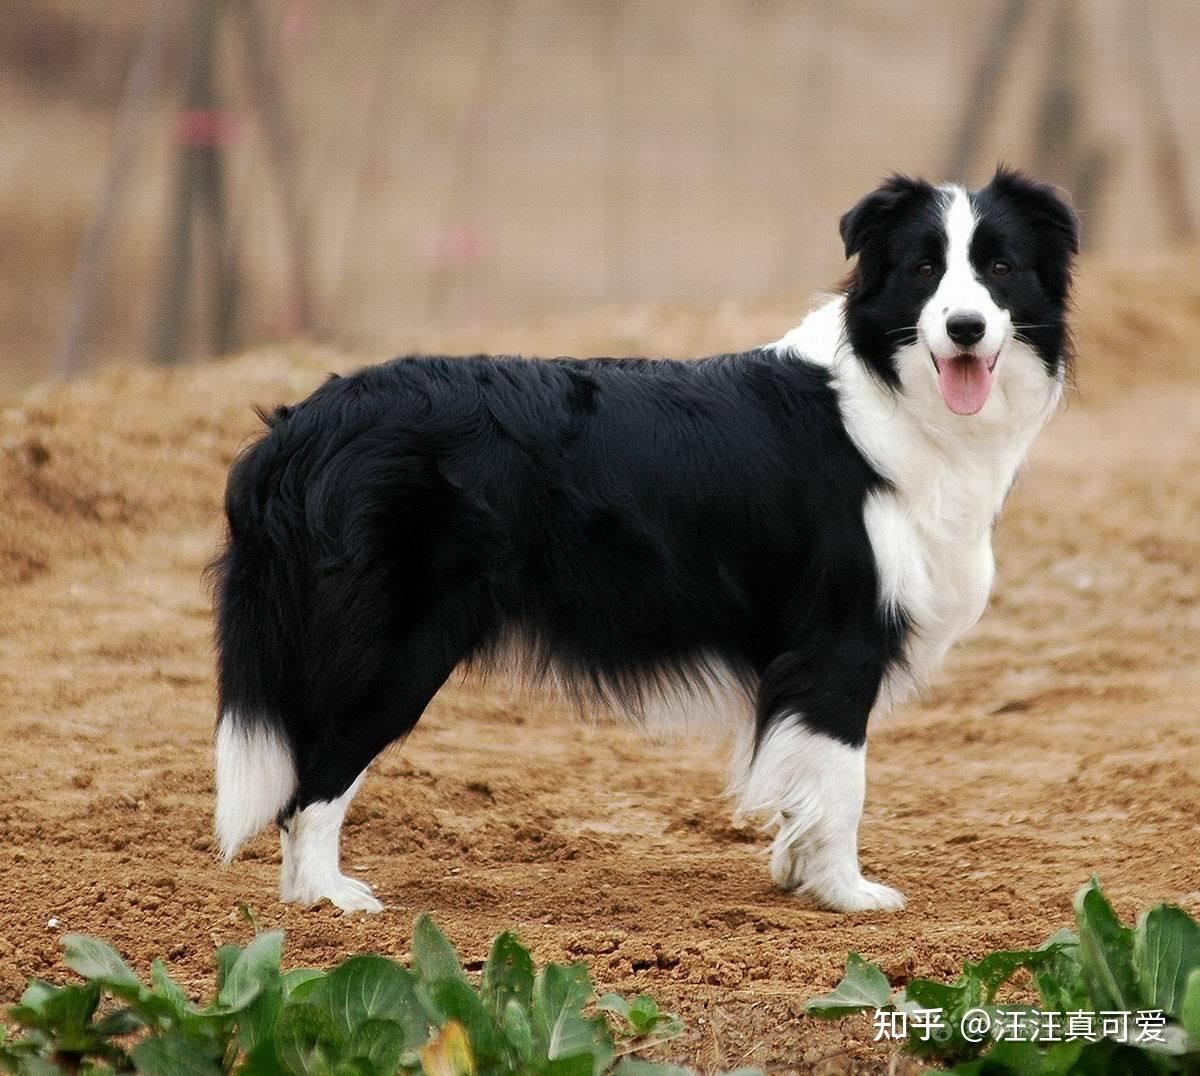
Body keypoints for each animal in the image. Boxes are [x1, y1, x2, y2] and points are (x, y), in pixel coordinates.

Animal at [213, 170, 1080, 916]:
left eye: (999, 267)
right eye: (924, 269)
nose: (965, 328)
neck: (892, 393)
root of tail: (299, 425)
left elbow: (802, 780)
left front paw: (797, 875)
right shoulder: (840, 639)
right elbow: (841, 781)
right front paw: (845, 895)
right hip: (401, 643)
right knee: (317, 772)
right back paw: (326, 899)